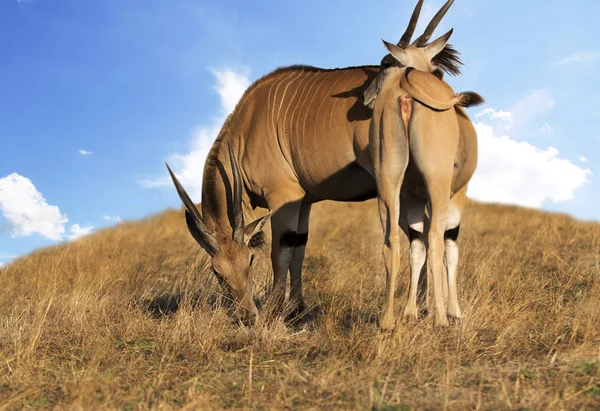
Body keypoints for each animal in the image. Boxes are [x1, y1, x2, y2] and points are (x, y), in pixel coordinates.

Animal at [165, 0, 482, 328]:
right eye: (216, 270)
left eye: (250, 260)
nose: (246, 315)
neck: (247, 124)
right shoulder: (303, 201)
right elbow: (299, 249)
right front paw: (297, 307)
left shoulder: (284, 197)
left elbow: (281, 252)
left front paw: (275, 310)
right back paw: (426, 311)